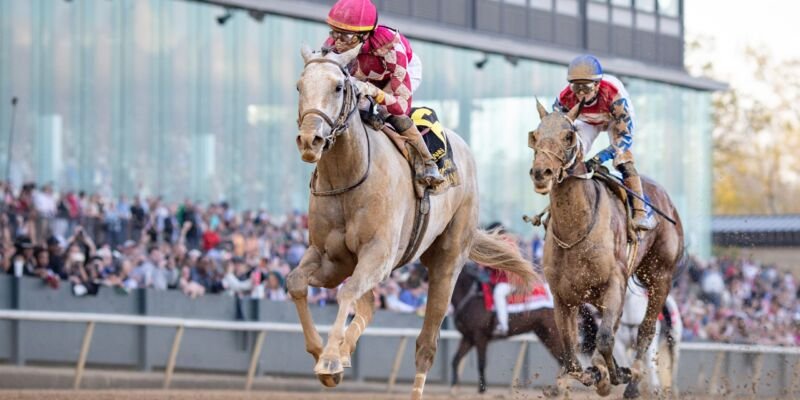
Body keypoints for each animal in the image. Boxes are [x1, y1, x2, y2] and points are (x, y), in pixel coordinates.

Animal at [287, 45, 537, 400]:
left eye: (337, 87)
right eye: (299, 86)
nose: (311, 141)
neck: (349, 175)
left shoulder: (378, 254)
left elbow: (347, 295)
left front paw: (331, 360)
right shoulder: (330, 258)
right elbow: (297, 283)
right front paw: (323, 352)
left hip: (448, 260)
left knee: (426, 345)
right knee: (367, 306)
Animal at [449, 264, 597, 396]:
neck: (471, 296)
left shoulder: (480, 336)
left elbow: (481, 363)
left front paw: (482, 389)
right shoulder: (467, 337)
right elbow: (455, 359)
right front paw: (454, 388)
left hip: (553, 334)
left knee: (565, 360)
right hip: (544, 334)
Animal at [527, 99, 684, 398]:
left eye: (568, 136)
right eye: (535, 136)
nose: (542, 173)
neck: (576, 230)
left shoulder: (614, 285)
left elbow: (605, 338)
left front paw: (615, 374)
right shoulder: (563, 297)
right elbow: (571, 355)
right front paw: (594, 373)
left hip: (660, 276)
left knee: (646, 331)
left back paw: (634, 381)